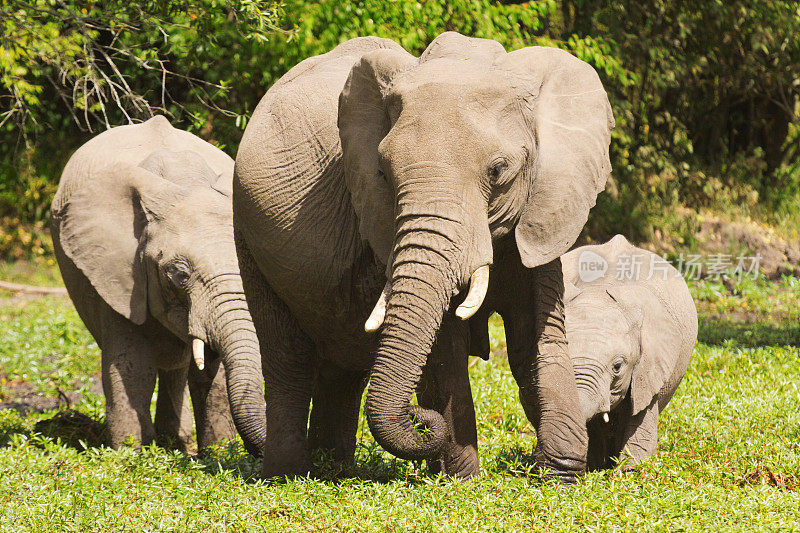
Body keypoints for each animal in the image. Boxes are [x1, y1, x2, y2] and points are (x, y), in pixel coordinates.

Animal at [51, 114, 268, 450]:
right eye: (179, 275)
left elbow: (212, 373)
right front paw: (130, 453)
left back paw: (176, 441)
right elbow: (133, 363)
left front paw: (219, 451)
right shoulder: (118, 273)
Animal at [234, 33, 616, 482]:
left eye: (499, 171)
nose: (420, 419)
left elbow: (535, 340)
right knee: (287, 354)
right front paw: (463, 480)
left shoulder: (541, 210)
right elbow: (444, 349)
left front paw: (557, 476)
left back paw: (334, 468)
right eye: (383, 173)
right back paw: (290, 473)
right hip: (248, 235)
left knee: (342, 366)